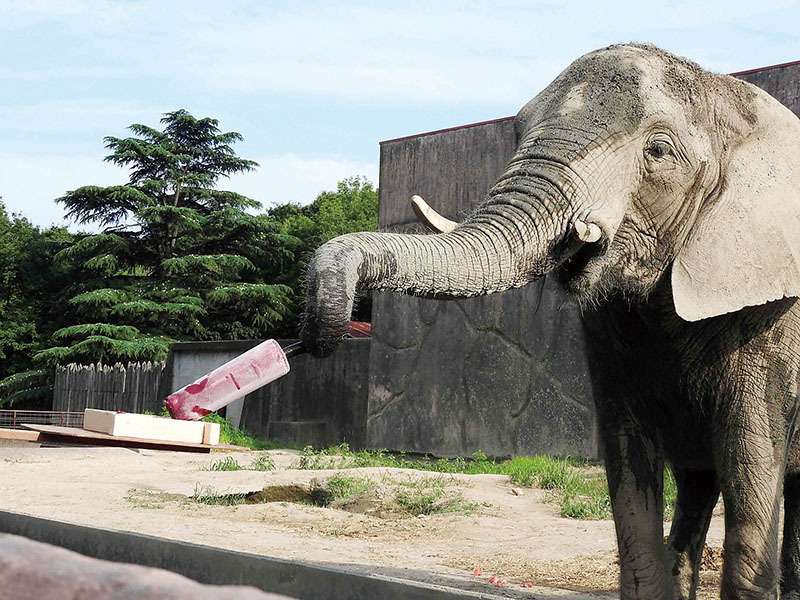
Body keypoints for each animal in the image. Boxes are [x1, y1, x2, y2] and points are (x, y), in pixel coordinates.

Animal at [298, 43, 800, 600]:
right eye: (518, 132)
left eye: (659, 152)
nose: (311, 336)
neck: (733, 99)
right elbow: (628, 451)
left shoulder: (773, 312)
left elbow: (751, 449)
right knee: (697, 482)